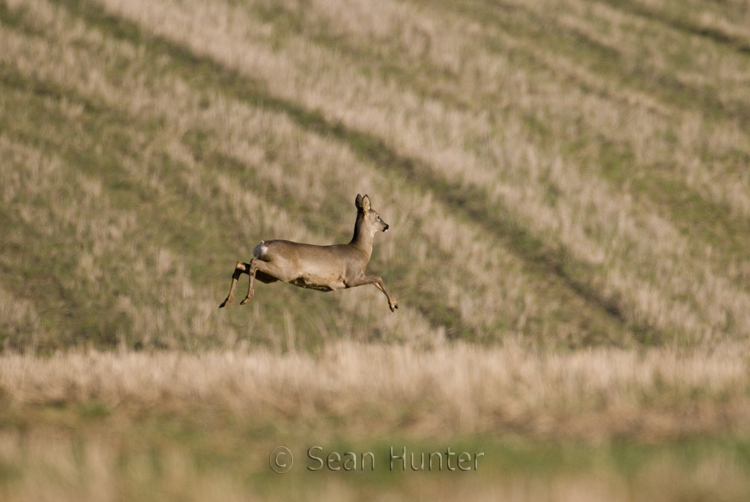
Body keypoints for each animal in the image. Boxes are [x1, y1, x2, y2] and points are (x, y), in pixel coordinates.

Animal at [219, 194, 400, 312]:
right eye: (378, 216)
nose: (387, 226)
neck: (360, 251)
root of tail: (263, 245)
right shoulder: (351, 277)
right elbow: (377, 277)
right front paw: (393, 304)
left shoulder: (355, 277)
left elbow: (376, 281)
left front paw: (394, 303)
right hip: (284, 270)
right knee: (252, 262)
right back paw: (246, 298)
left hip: (272, 276)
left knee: (241, 264)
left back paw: (227, 301)